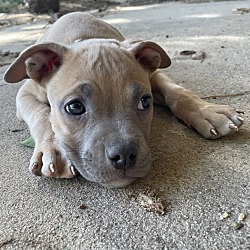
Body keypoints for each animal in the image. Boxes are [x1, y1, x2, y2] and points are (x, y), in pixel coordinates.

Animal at [3, 12, 243, 188]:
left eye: (145, 102)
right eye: (74, 107)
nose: (125, 155)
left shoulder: (154, 76)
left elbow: (178, 92)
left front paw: (208, 112)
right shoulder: (24, 94)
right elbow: (42, 115)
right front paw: (53, 150)